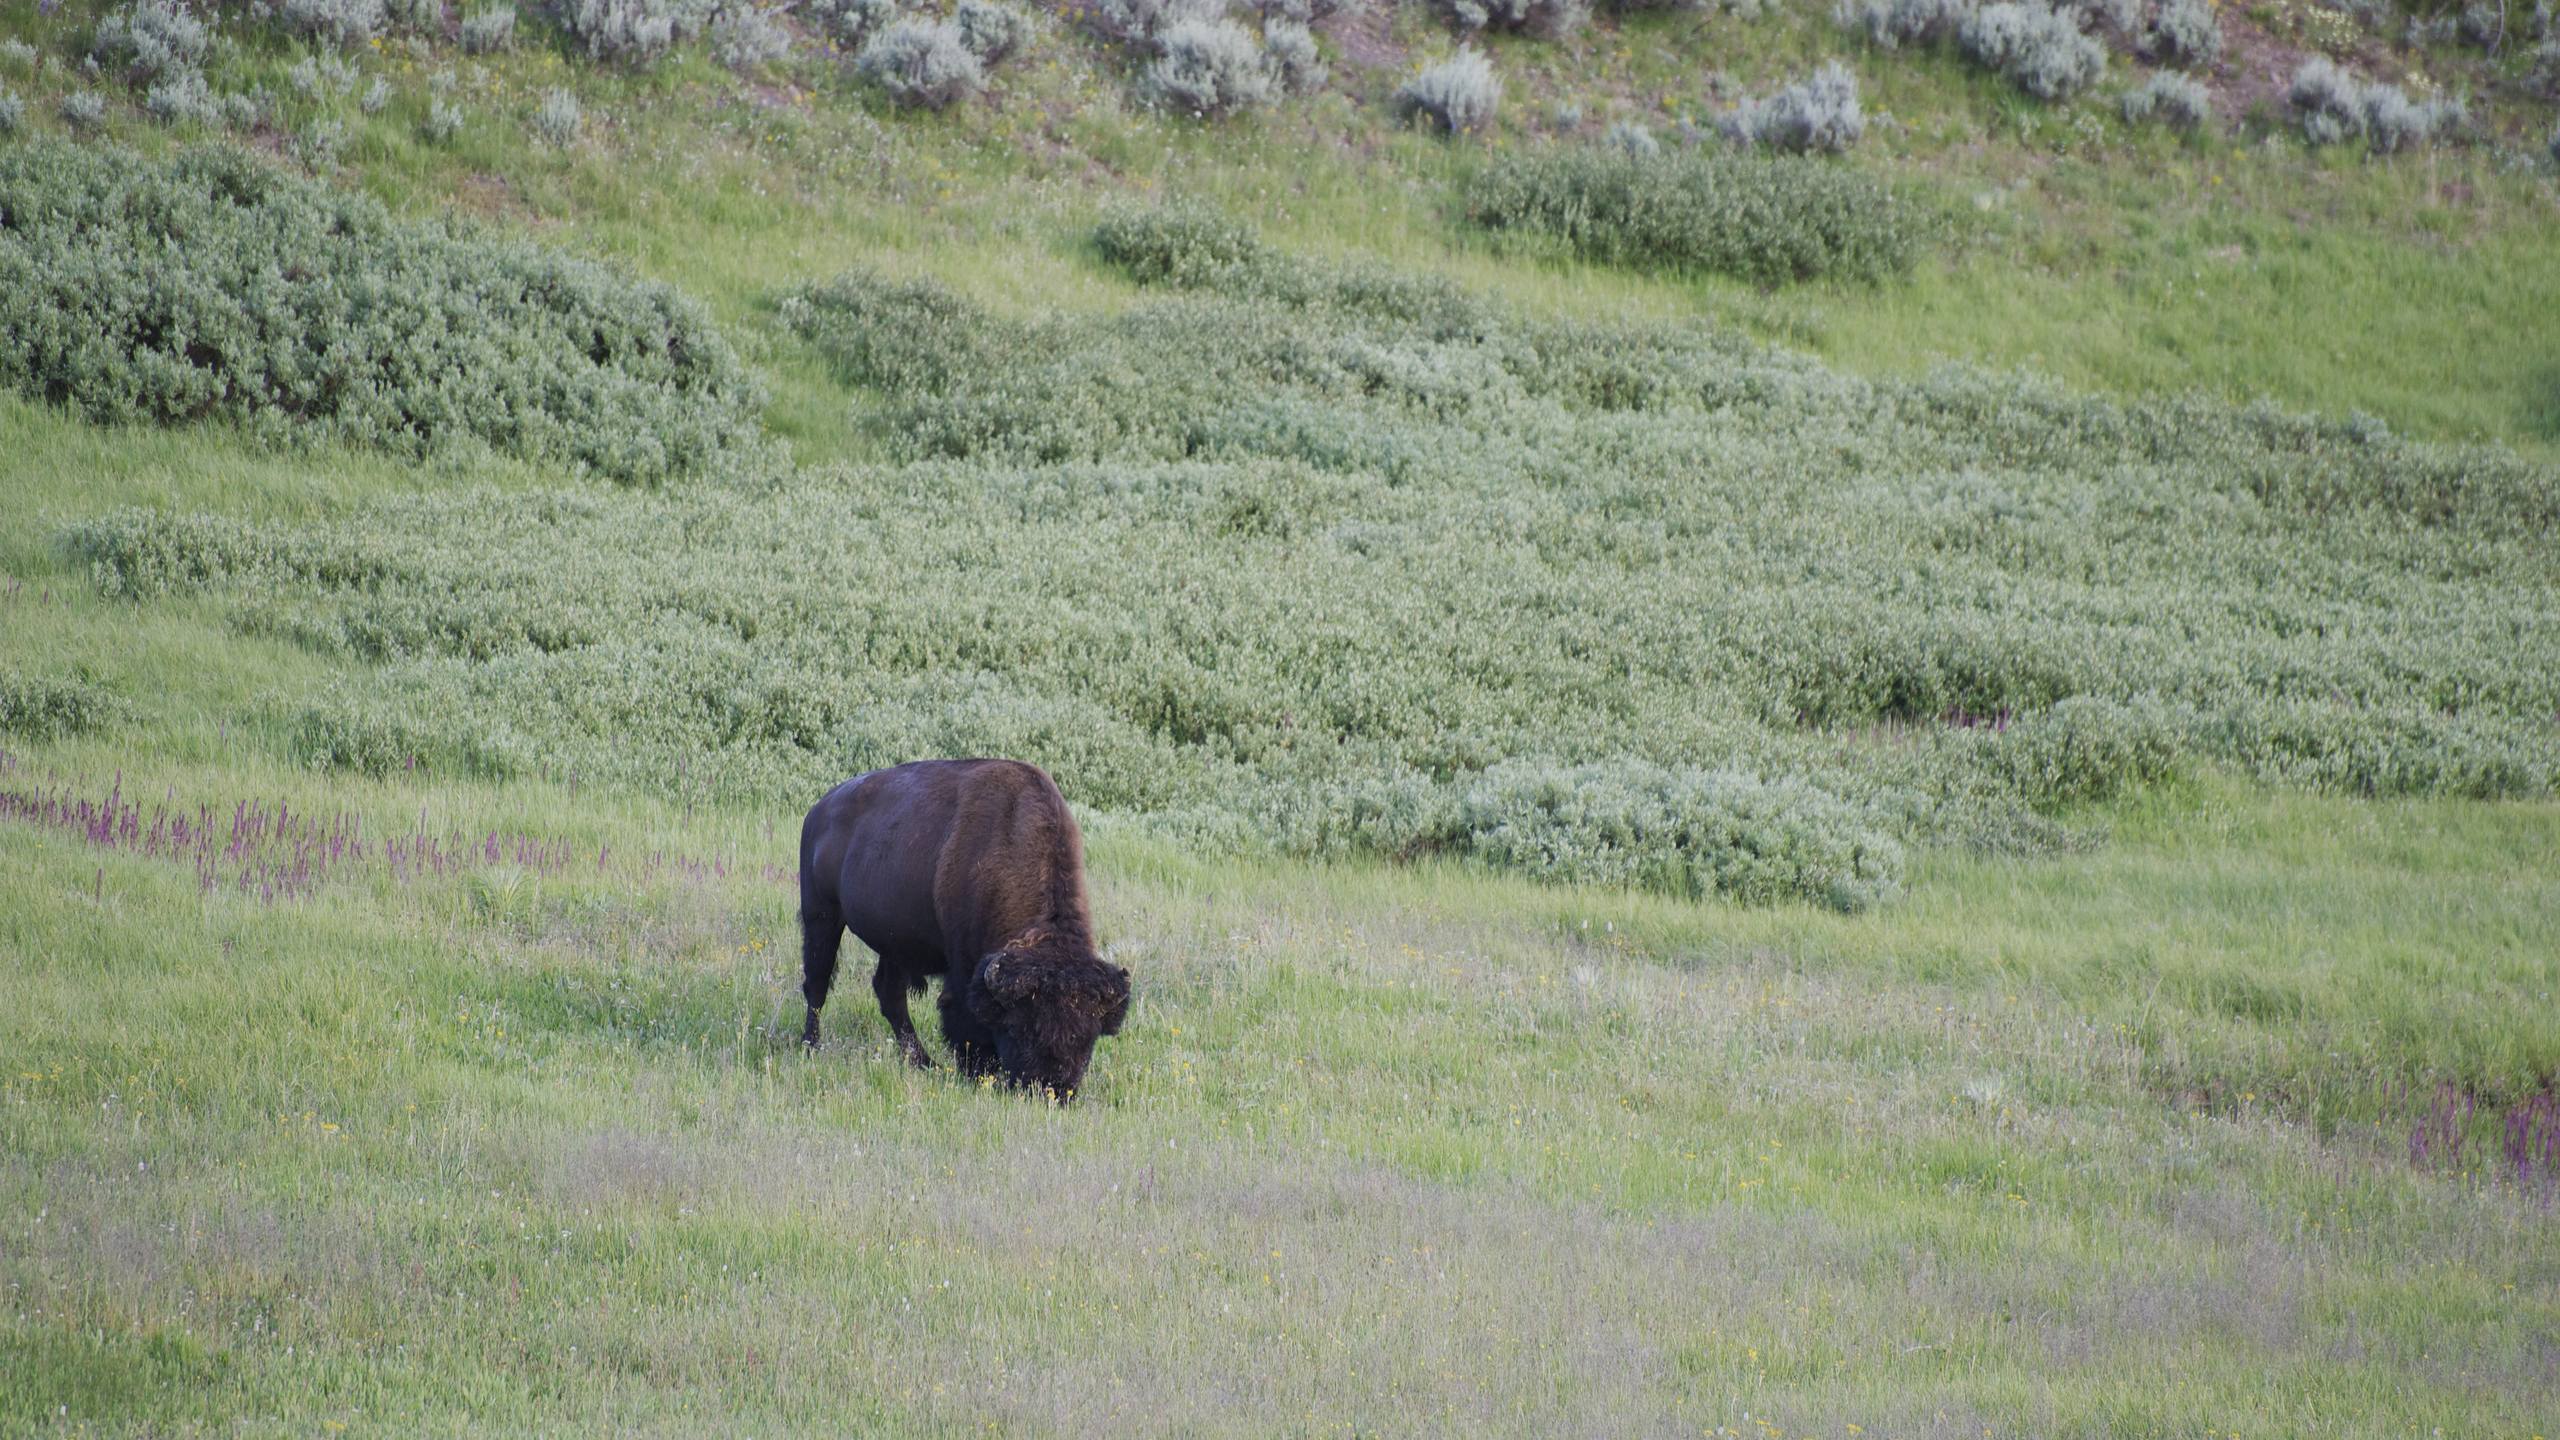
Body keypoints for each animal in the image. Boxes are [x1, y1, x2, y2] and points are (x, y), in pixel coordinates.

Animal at [793, 758, 1126, 1091]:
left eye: (1088, 1036)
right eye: (1021, 1028)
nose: (1051, 1089)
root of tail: (818, 810)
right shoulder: (963, 963)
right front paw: (978, 1074)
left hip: (895, 942)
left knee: (889, 993)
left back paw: (924, 1062)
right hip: (821, 916)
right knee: (817, 984)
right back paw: (811, 1047)